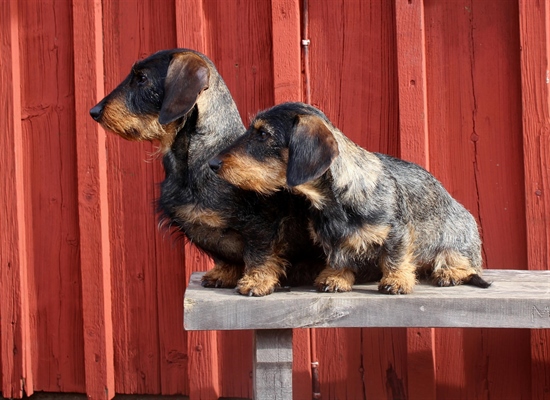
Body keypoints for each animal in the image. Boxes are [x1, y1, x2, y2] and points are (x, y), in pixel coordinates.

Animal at [89, 50, 324, 296]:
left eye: (142, 78)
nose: (93, 112)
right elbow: (223, 256)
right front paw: (223, 273)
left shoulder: (261, 224)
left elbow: (260, 253)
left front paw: (256, 281)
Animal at [210, 101, 492, 294]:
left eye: (263, 134)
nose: (212, 164)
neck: (332, 201)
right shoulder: (331, 238)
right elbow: (338, 256)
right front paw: (335, 278)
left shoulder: (397, 232)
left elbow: (395, 256)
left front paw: (396, 280)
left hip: (457, 244)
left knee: (464, 264)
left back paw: (450, 273)